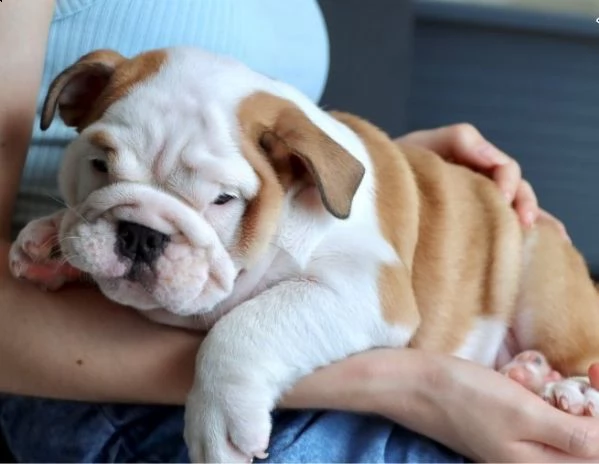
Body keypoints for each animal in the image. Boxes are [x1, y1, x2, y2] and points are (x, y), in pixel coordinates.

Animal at [10, 46, 599, 460]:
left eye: (223, 200)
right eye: (100, 166)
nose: (141, 232)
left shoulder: (364, 287)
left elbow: (245, 326)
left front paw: (217, 418)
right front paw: (46, 241)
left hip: (543, 289)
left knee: (583, 356)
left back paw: (570, 393)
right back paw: (528, 375)